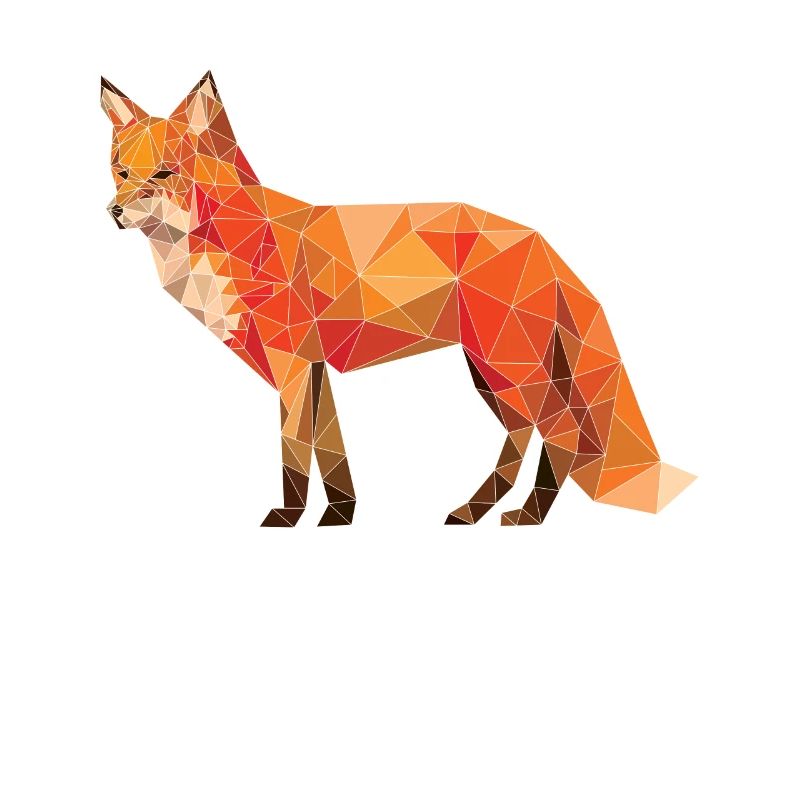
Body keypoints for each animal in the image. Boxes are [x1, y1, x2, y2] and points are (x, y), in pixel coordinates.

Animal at [102, 71, 694, 527]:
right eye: (121, 170)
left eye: (165, 173)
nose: (114, 212)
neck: (244, 237)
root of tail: (542, 244)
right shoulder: (314, 368)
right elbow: (331, 450)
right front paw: (340, 516)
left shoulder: (292, 365)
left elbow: (295, 455)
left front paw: (289, 518)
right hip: (492, 375)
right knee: (524, 436)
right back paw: (475, 511)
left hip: (512, 370)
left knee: (562, 436)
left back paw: (529, 517)